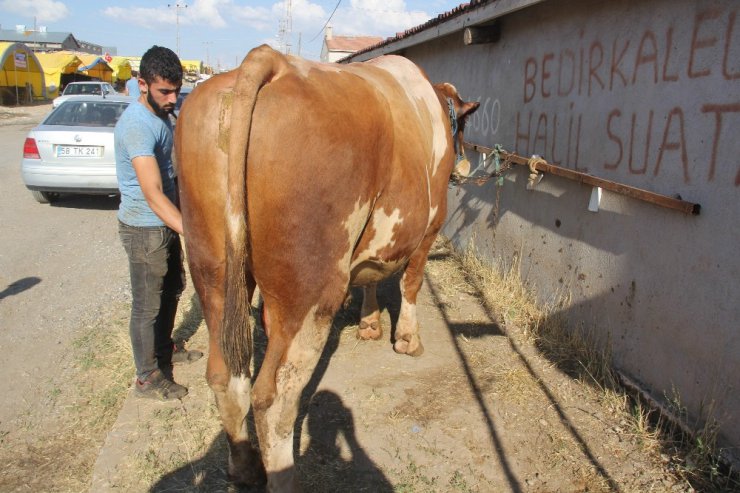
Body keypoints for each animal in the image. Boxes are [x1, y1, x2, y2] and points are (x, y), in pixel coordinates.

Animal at [174, 44, 476, 490]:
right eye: (462, 130)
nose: (464, 168)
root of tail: (272, 60)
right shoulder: (430, 225)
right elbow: (412, 282)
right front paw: (407, 339)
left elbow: (371, 278)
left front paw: (369, 322)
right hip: (311, 290)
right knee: (274, 398)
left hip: (214, 272)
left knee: (225, 376)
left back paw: (244, 468)